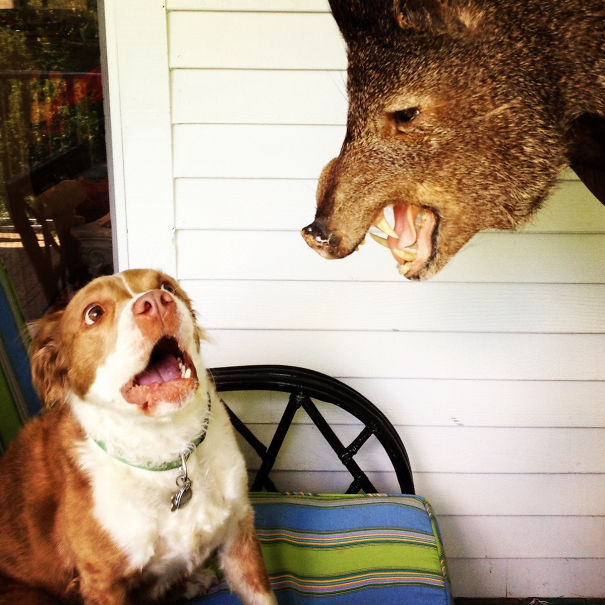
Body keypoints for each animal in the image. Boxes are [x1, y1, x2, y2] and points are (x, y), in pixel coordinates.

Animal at [0, 270, 276, 604]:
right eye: (94, 313)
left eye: (167, 286)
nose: (157, 302)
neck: (169, 449)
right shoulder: (101, 582)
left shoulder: (239, 532)